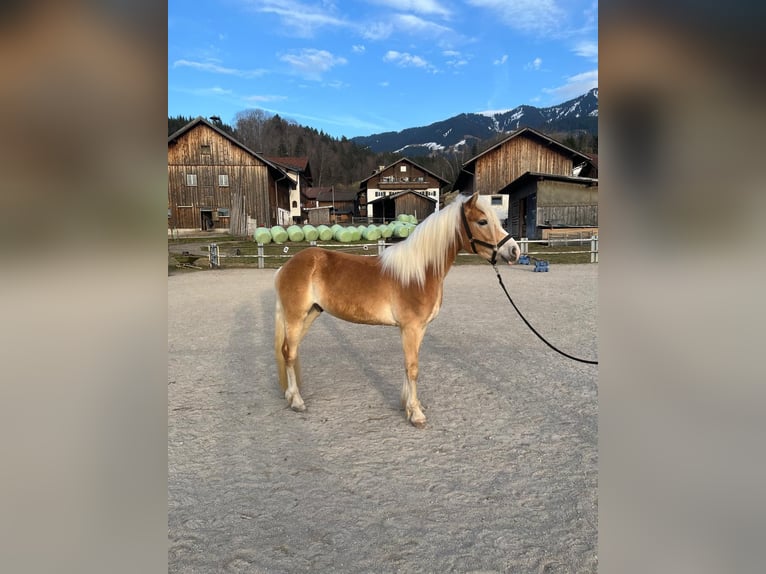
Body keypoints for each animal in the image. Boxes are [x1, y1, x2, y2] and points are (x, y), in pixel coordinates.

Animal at [273, 192, 520, 427]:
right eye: (482, 221)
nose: (514, 250)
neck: (420, 272)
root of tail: (285, 267)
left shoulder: (418, 329)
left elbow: (408, 365)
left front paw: (408, 405)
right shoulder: (410, 328)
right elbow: (413, 367)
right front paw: (416, 415)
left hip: (311, 314)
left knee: (289, 351)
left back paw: (290, 395)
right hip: (295, 317)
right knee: (289, 353)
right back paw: (297, 401)